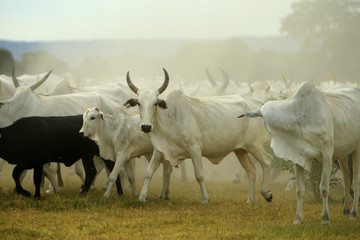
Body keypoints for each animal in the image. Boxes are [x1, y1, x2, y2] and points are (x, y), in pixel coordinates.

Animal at [124, 68, 272, 203]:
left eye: (155, 103)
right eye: (139, 103)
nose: (146, 126)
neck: (171, 118)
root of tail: (258, 104)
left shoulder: (195, 148)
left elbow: (199, 175)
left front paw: (205, 199)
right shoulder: (160, 150)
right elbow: (149, 172)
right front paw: (142, 197)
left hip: (254, 146)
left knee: (267, 161)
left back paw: (266, 193)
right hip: (240, 150)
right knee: (251, 172)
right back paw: (250, 200)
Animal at [239, 81, 360, 224]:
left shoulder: (327, 156)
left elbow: (324, 188)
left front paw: (325, 218)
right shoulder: (298, 158)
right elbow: (300, 190)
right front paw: (298, 219)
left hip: (356, 149)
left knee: (356, 180)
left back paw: (353, 213)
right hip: (343, 154)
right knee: (346, 179)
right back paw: (345, 211)